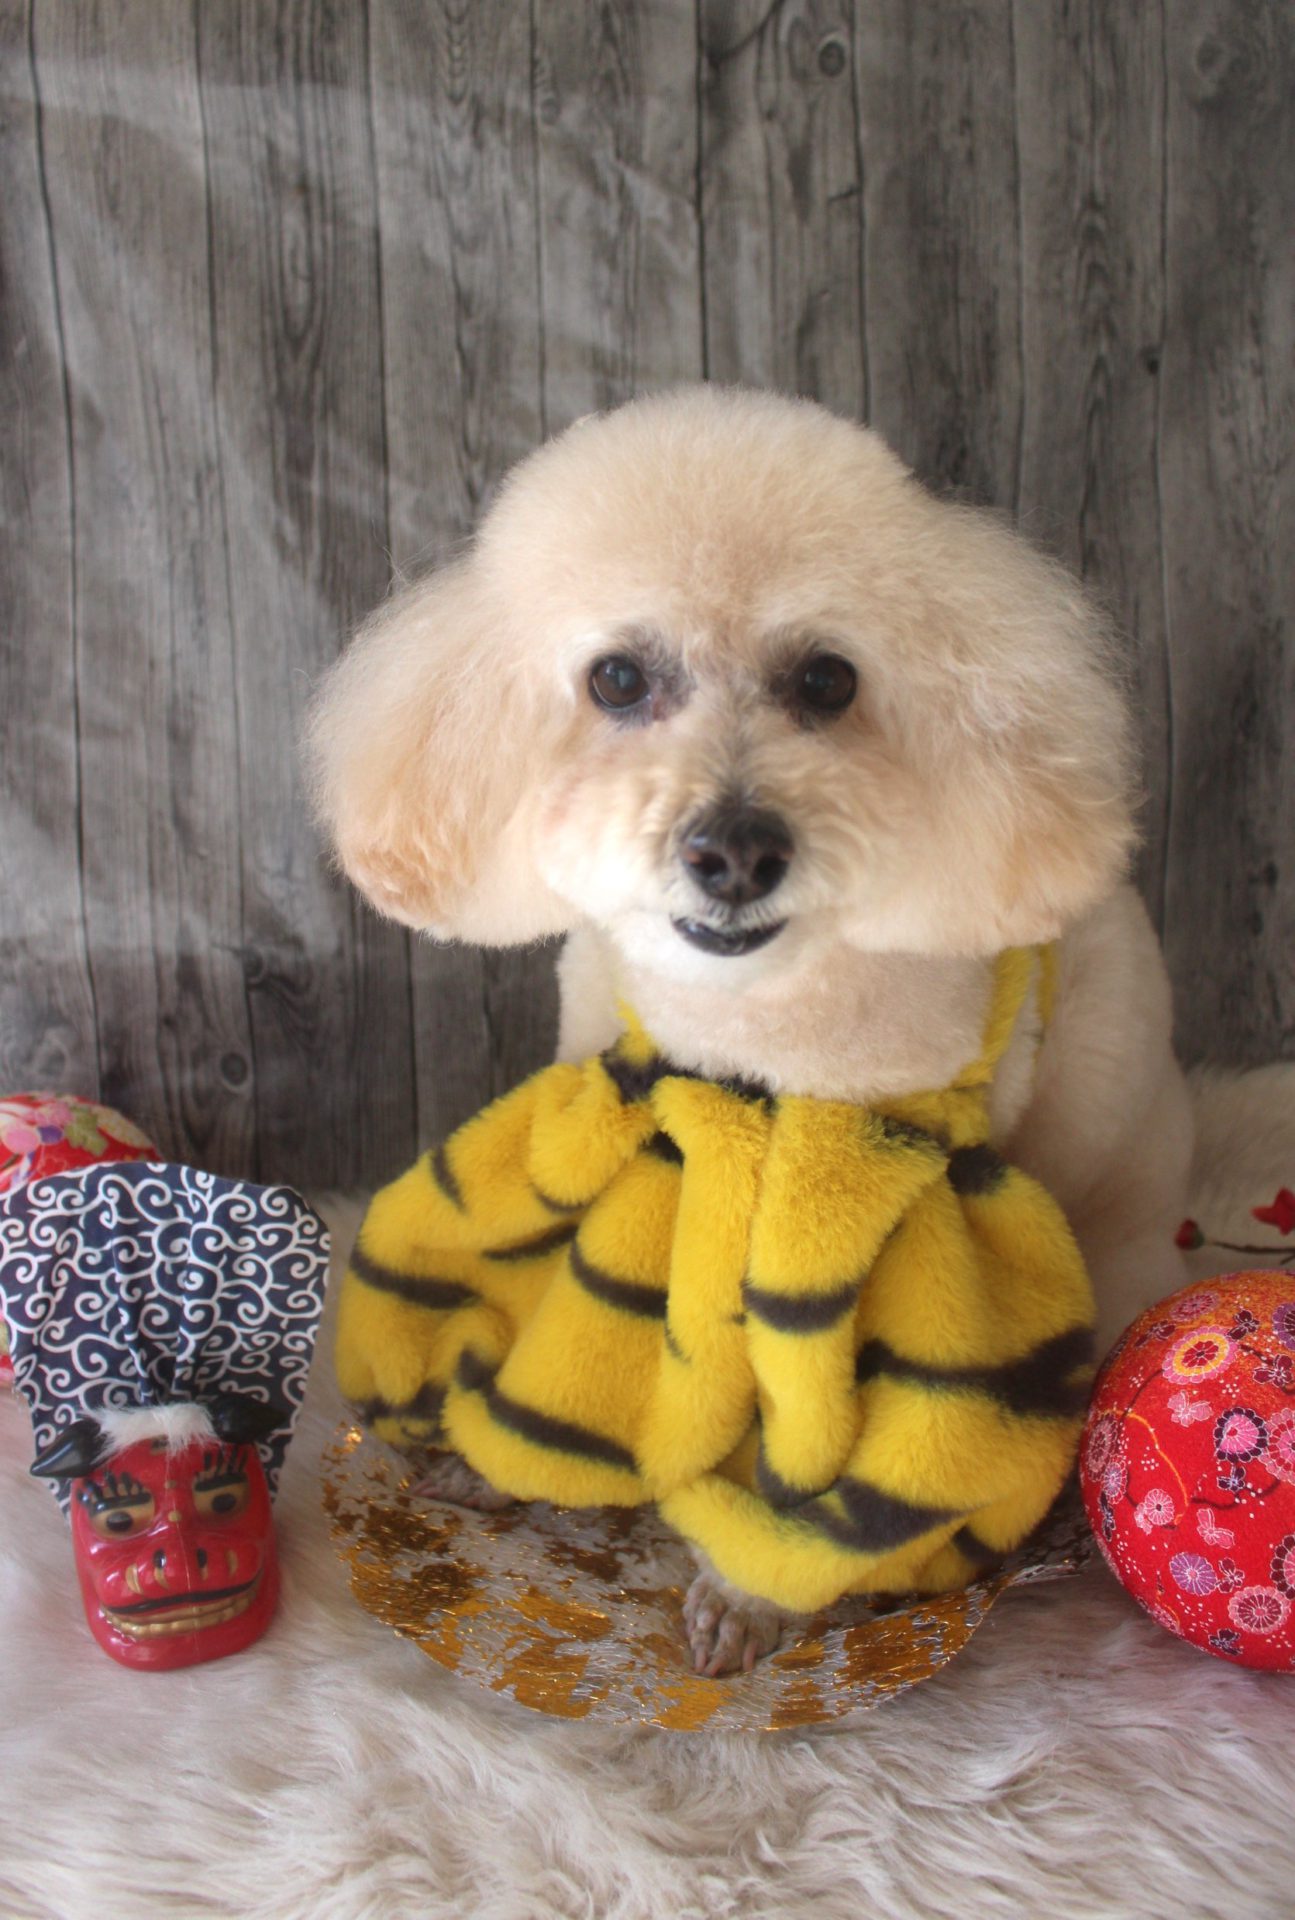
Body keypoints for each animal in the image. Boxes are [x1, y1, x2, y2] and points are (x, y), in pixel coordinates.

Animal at [308, 386, 1193, 1674]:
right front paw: (495, 1459)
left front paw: (752, 1593)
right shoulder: (631, 1113)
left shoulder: (860, 1201)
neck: (740, 1035)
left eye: (825, 679)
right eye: (616, 678)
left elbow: (816, 1436)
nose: (734, 850)